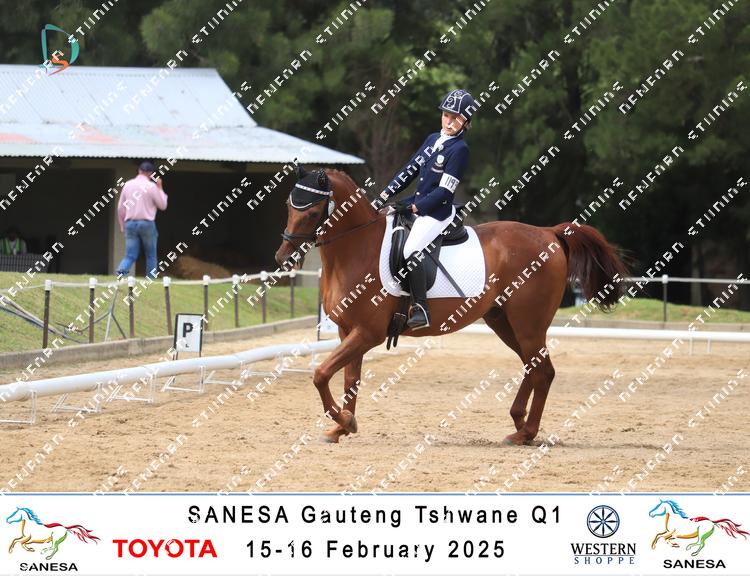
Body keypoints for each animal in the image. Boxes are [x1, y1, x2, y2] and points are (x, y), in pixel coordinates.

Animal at [274, 166, 627, 444]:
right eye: (289, 206)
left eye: (311, 211)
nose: (283, 259)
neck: (357, 248)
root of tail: (549, 233)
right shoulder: (347, 332)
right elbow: (349, 380)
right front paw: (342, 426)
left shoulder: (367, 333)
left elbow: (321, 373)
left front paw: (344, 421)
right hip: (504, 321)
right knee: (533, 366)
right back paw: (519, 422)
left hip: (528, 324)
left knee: (543, 371)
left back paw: (526, 432)